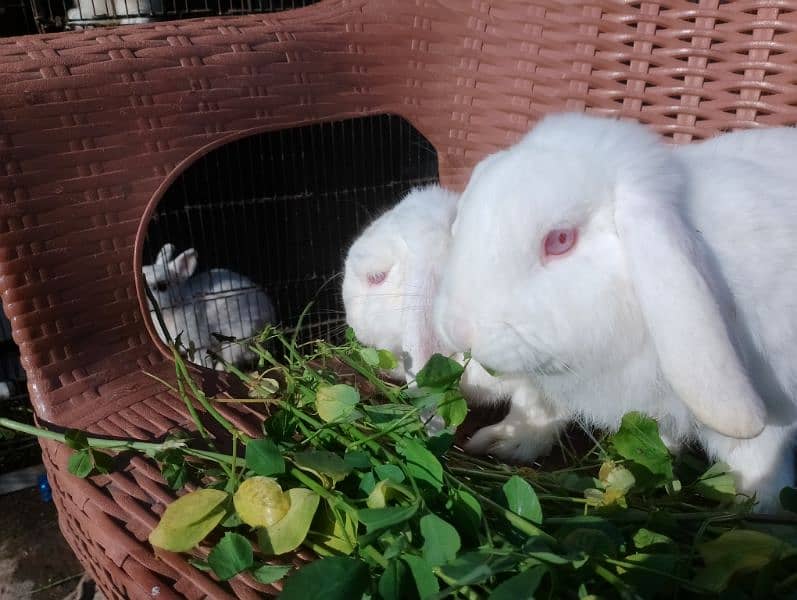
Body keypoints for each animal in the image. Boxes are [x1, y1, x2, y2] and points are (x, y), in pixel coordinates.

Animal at [432, 111, 796, 510]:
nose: (458, 328)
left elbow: (757, 462)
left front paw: (765, 508)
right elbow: (538, 405)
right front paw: (502, 441)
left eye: (561, 240)